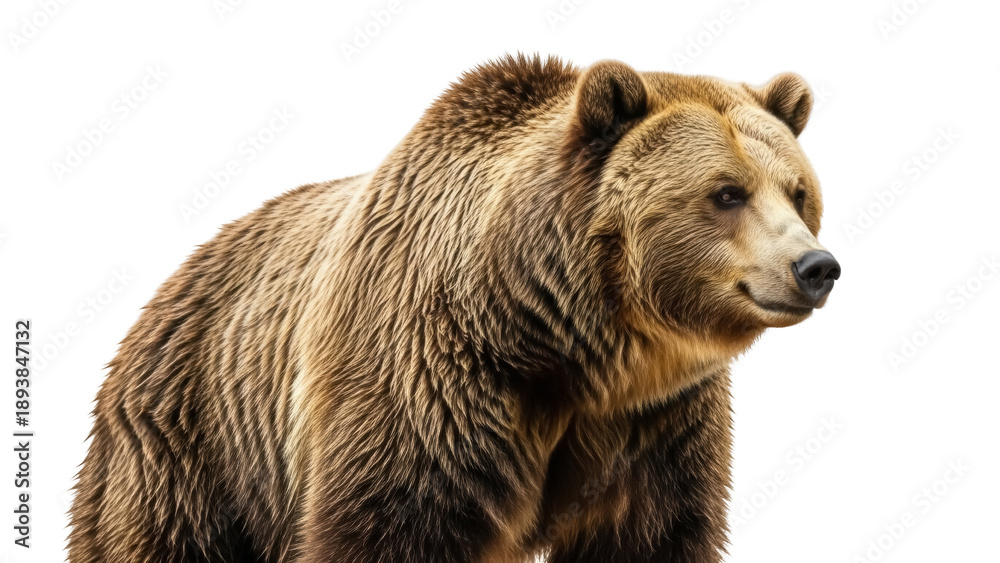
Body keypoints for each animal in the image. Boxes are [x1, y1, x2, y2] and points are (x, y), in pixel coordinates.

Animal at [68, 54, 840, 563]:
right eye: (727, 192)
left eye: (797, 190)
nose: (815, 267)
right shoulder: (431, 384)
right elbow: (393, 523)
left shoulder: (658, 421)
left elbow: (649, 533)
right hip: (189, 437)